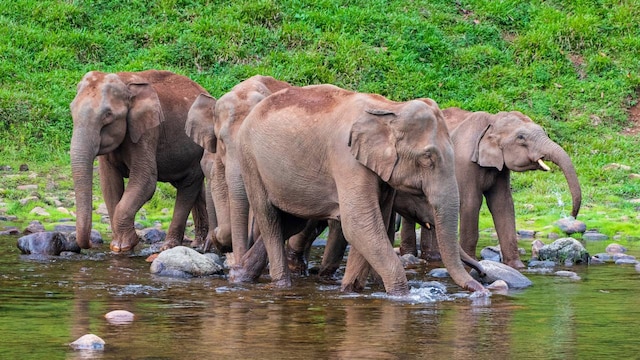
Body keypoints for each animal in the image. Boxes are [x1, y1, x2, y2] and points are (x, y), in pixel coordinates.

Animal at [70, 71, 210, 253]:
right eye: (71, 110)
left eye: (108, 115)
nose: (89, 244)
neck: (124, 82)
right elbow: (109, 184)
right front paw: (117, 246)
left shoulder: (147, 130)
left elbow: (146, 180)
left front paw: (124, 246)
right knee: (195, 188)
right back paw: (198, 244)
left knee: (188, 186)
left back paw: (169, 246)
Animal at [232, 84, 488, 296]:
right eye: (428, 158)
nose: (483, 286)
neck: (390, 108)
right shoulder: (346, 159)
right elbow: (359, 224)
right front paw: (402, 295)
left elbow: (374, 223)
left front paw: (351, 290)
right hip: (249, 159)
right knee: (269, 217)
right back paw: (281, 284)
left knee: (292, 221)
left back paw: (241, 274)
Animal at [402, 108, 584, 268]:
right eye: (521, 137)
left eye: (544, 132)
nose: (571, 216)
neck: (492, 121)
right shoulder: (464, 162)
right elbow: (471, 203)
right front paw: (471, 264)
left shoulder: (501, 169)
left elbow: (503, 204)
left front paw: (517, 266)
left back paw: (432, 258)